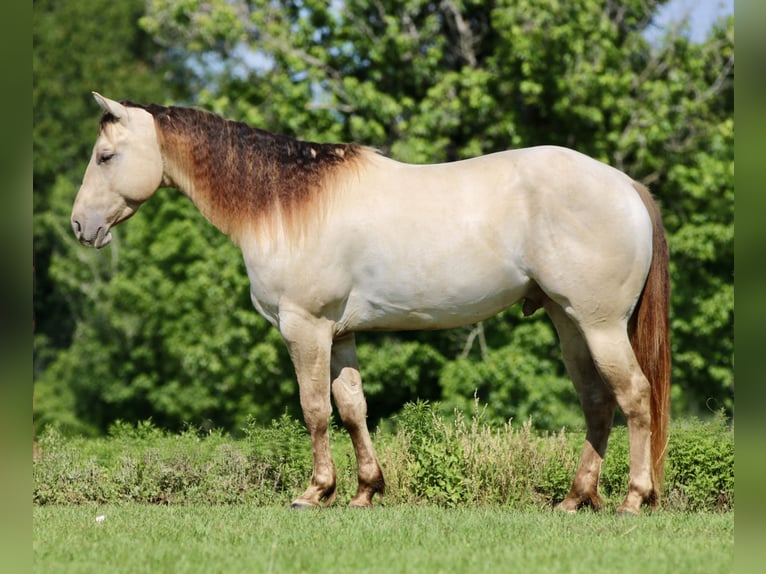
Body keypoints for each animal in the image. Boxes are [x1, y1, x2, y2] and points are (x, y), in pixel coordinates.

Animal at [71, 92, 670, 514]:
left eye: (105, 155)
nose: (80, 226)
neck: (286, 203)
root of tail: (625, 186)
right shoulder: (340, 334)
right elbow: (352, 406)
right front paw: (365, 490)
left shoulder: (305, 328)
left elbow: (315, 409)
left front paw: (315, 491)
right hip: (569, 324)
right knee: (597, 402)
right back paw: (575, 498)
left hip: (599, 326)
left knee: (635, 397)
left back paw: (633, 498)